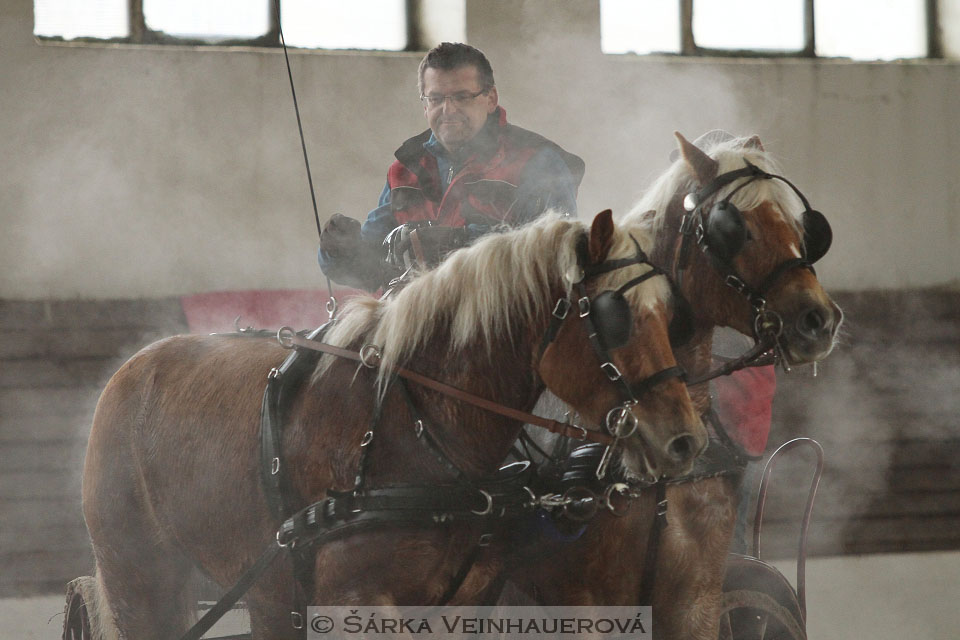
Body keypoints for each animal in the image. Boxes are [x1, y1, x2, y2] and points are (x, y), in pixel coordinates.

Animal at [77, 211, 704, 640]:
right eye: (613, 316)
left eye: (668, 311)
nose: (685, 439)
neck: (419, 426)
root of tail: (133, 368)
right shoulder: (357, 599)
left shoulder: (462, 602)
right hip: (138, 575)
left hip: (270, 590)